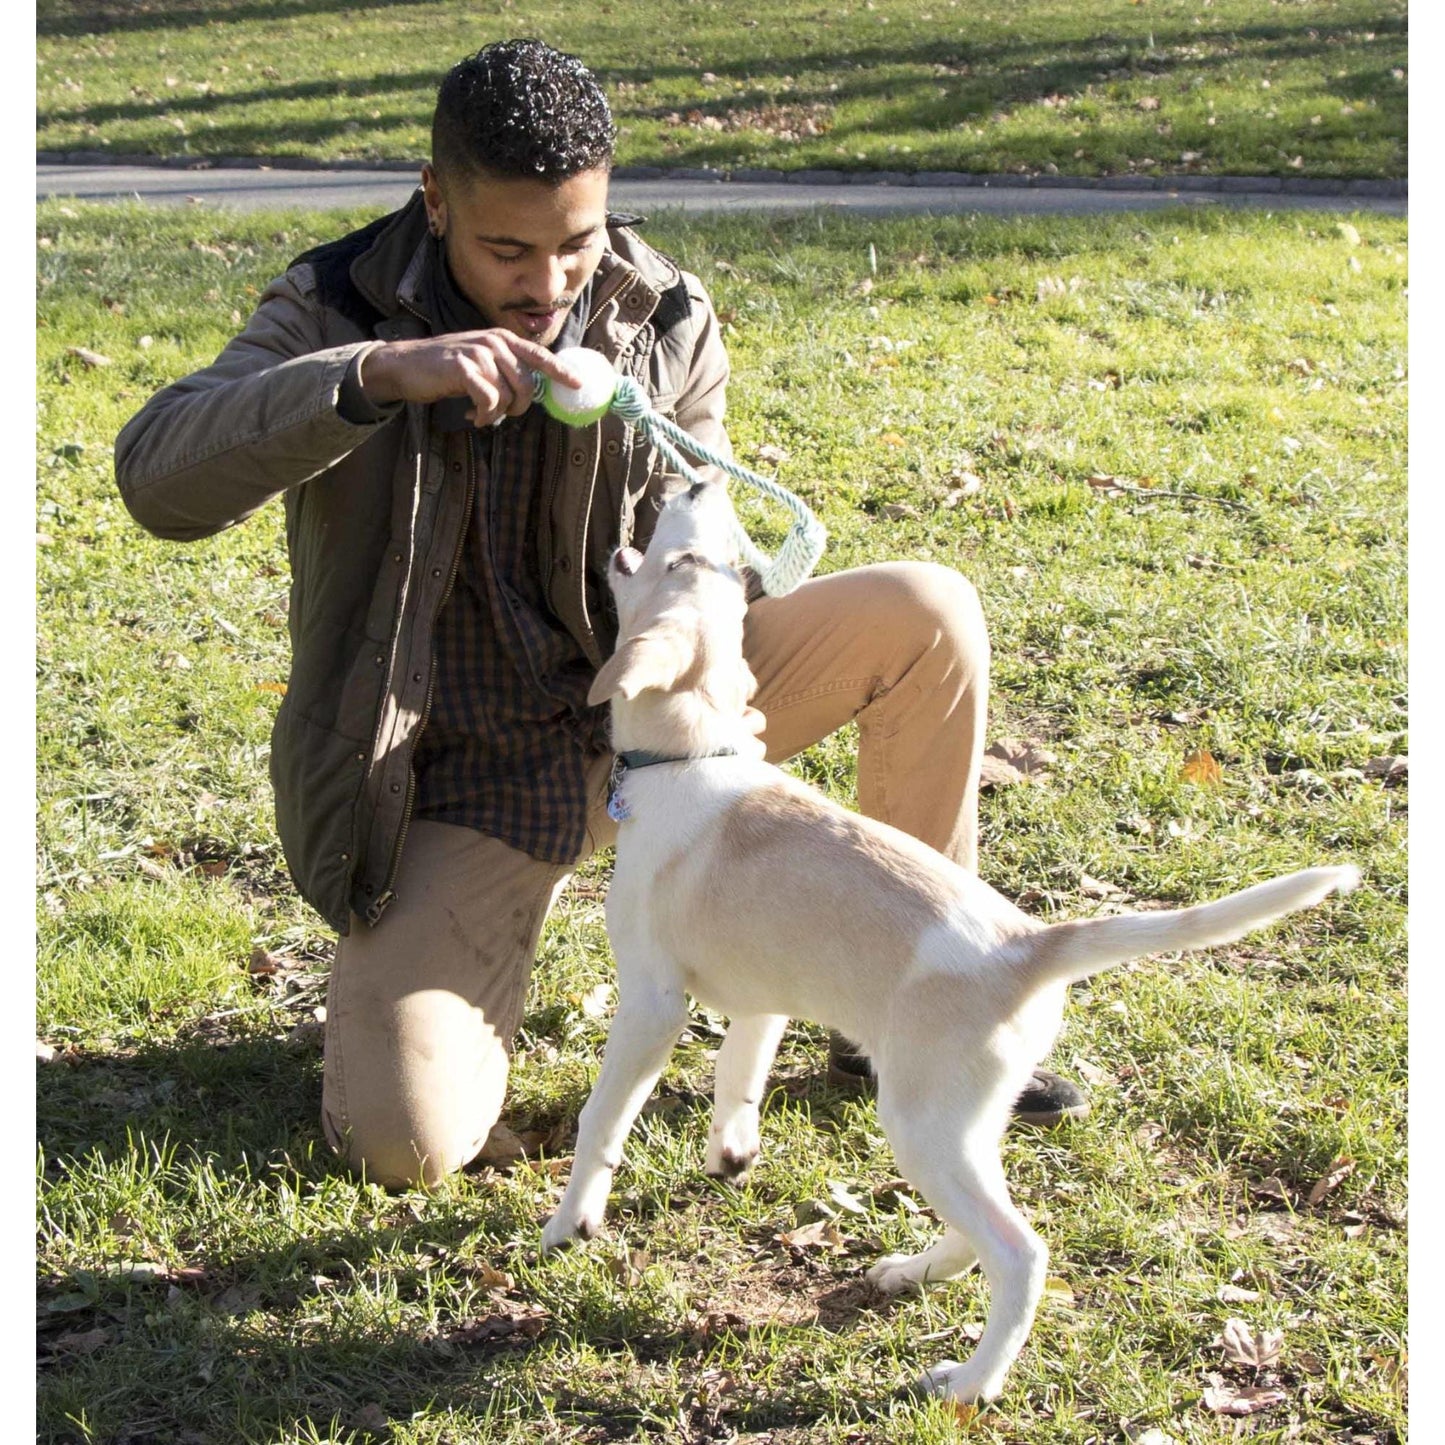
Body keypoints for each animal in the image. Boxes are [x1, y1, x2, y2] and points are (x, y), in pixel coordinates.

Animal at [540, 479, 1352, 1404]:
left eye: (685, 561)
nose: (698, 482)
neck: (694, 754)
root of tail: (1030, 943)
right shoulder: (764, 997)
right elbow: (737, 1076)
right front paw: (730, 1154)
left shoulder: (649, 1002)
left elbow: (601, 1119)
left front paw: (569, 1223)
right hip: (964, 1121)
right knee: (981, 1232)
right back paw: (912, 1272)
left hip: (921, 1122)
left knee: (1021, 1250)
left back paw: (970, 1381)